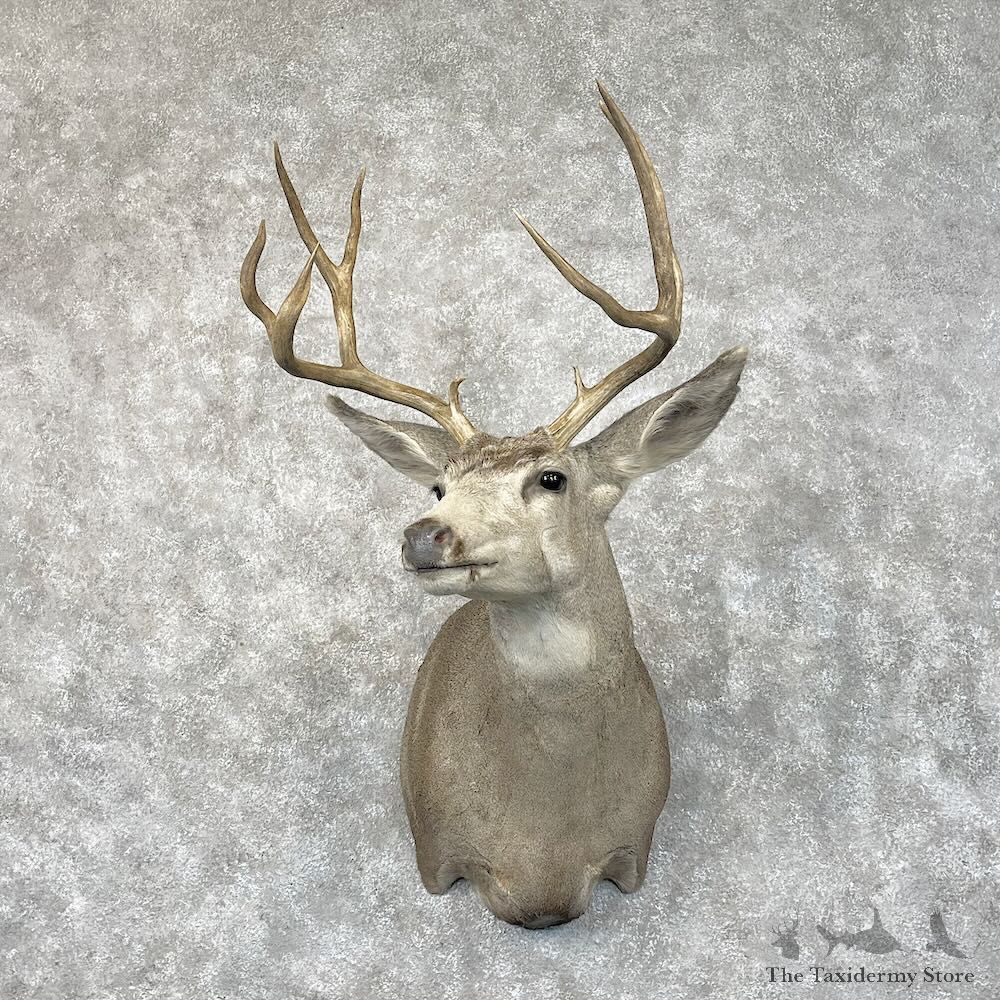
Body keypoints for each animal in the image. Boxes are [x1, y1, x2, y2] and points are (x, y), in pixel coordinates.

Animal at [240, 82, 748, 928]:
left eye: (551, 478)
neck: (542, 848)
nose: (425, 535)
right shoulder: (436, 851)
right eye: (438, 486)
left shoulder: (634, 849)